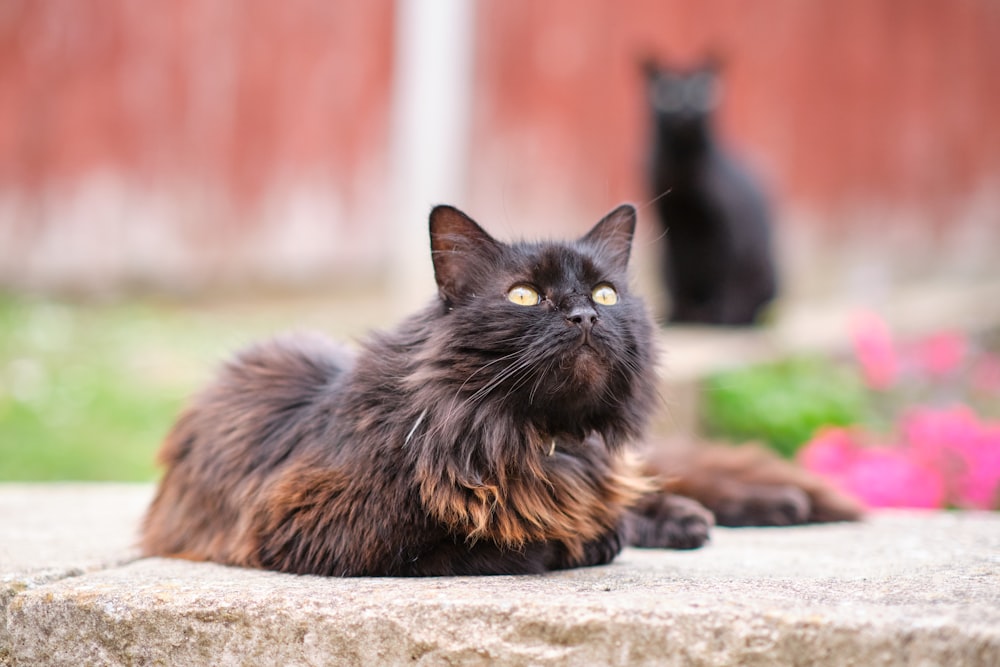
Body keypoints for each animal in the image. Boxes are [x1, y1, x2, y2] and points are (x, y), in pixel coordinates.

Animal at [141, 206, 860, 576]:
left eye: (605, 294)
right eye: (524, 296)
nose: (585, 317)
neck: (535, 439)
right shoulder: (310, 524)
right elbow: (476, 544)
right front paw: (569, 541)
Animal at [644, 58, 776, 324]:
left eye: (699, 93)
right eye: (669, 96)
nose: (686, 112)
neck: (682, 170)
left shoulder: (724, 229)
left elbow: (724, 272)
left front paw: (723, 316)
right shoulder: (671, 222)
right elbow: (683, 268)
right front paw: (679, 314)